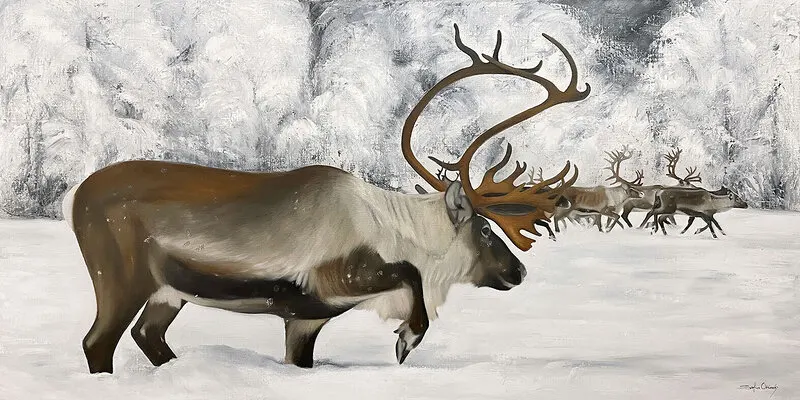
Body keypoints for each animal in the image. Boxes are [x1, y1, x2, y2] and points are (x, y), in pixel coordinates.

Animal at [61, 24, 589, 374]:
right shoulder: (334, 278)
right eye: (483, 227)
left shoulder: (305, 318)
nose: (519, 272)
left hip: (168, 292)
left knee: (146, 336)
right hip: (120, 279)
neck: (399, 228)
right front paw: (406, 339)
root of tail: (77, 195)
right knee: (97, 342)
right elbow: (410, 275)